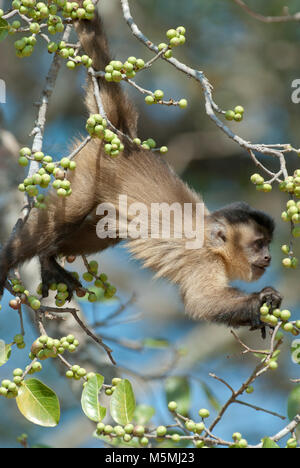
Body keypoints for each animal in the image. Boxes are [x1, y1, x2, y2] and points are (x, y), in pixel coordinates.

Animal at [0, 3, 282, 332]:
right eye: (259, 244)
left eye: (268, 245)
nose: (268, 257)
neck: (213, 243)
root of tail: (122, 136)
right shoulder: (203, 261)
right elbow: (202, 302)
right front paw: (261, 299)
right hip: (87, 173)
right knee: (67, 216)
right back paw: (9, 259)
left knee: (105, 231)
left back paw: (48, 258)